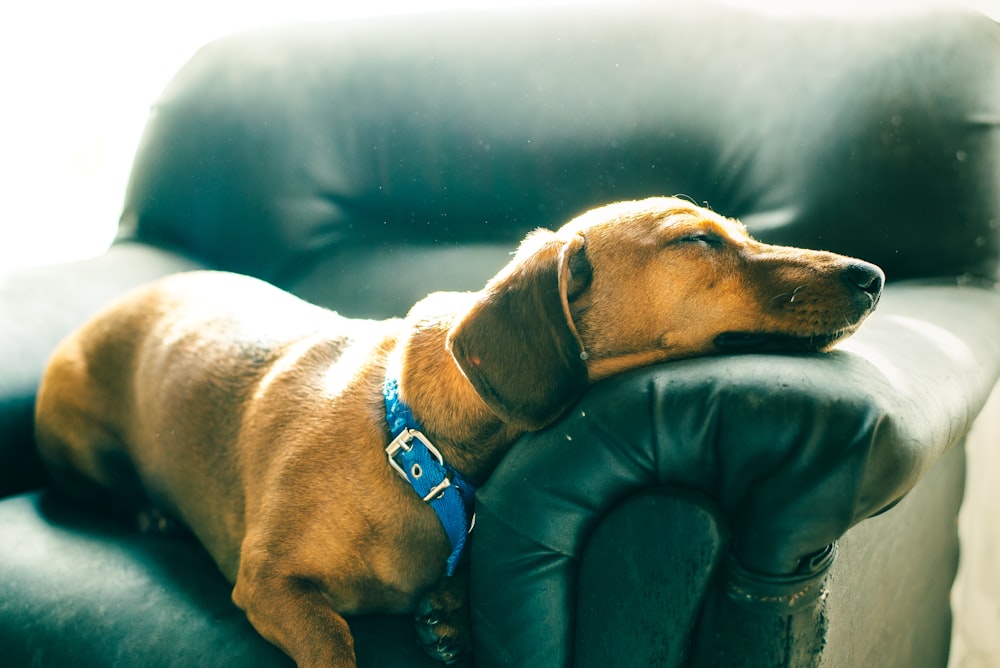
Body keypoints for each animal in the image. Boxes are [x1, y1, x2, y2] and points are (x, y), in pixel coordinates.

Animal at [35, 196, 888, 664]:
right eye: (698, 240)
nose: (872, 276)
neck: (421, 451)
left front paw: (449, 612)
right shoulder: (271, 584)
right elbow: (334, 643)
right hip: (77, 438)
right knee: (78, 489)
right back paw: (142, 509)